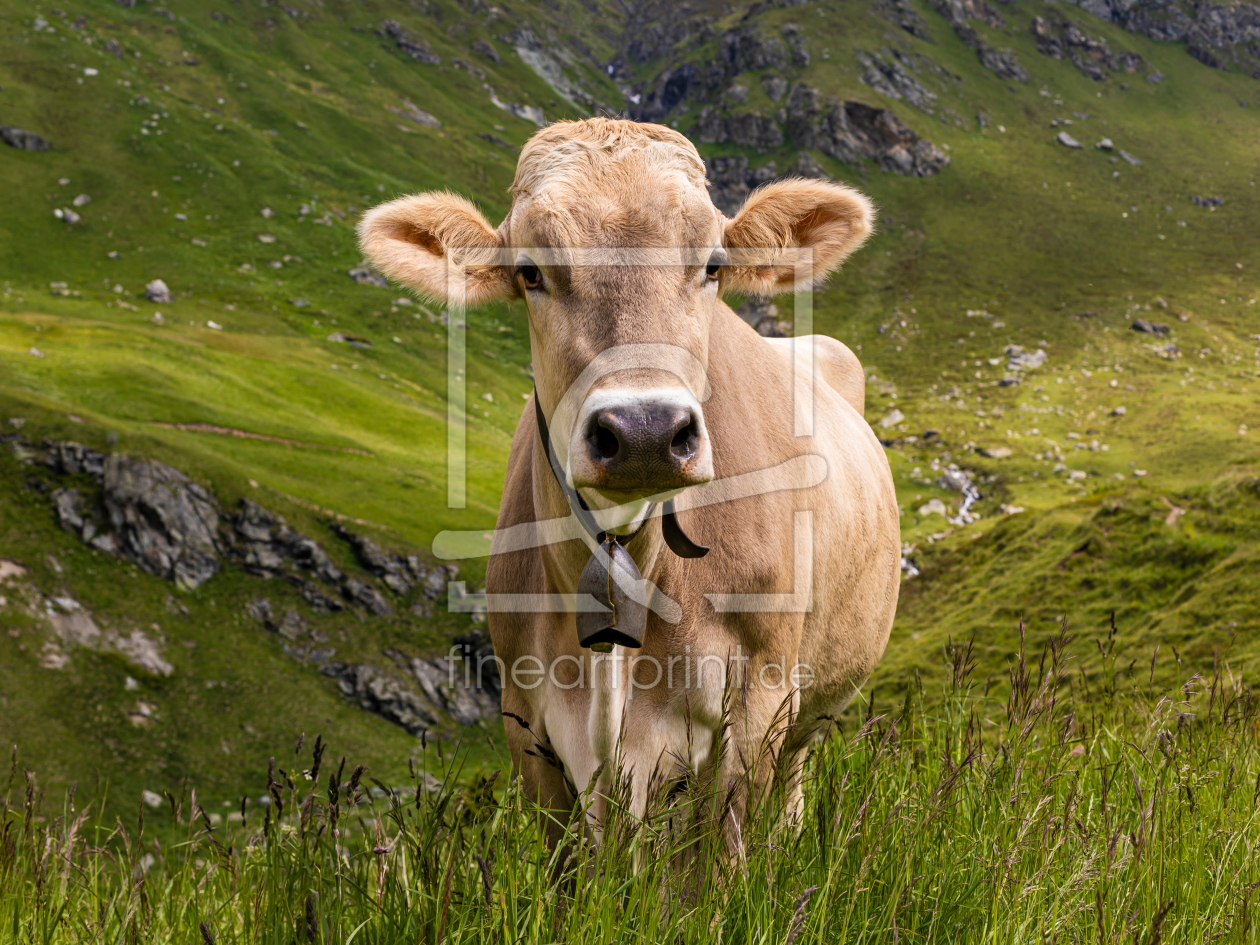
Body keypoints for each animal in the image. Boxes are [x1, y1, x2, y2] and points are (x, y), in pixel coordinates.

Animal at [360, 114, 902, 846]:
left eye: (711, 266)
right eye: (531, 271)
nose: (645, 430)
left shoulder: (755, 704)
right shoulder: (527, 723)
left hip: (809, 712)